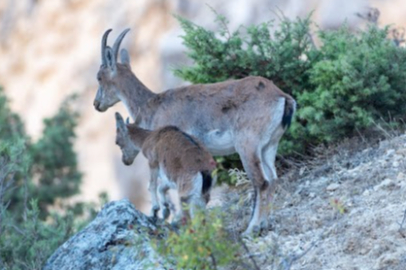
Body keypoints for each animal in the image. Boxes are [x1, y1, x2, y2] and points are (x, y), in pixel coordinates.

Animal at [95, 29, 298, 234]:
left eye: (99, 77)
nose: (97, 104)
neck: (151, 106)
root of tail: (282, 97)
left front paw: (161, 211)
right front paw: (166, 211)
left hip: (247, 144)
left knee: (261, 181)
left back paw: (251, 228)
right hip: (269, 145)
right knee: (272, 179)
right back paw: (265, 223)